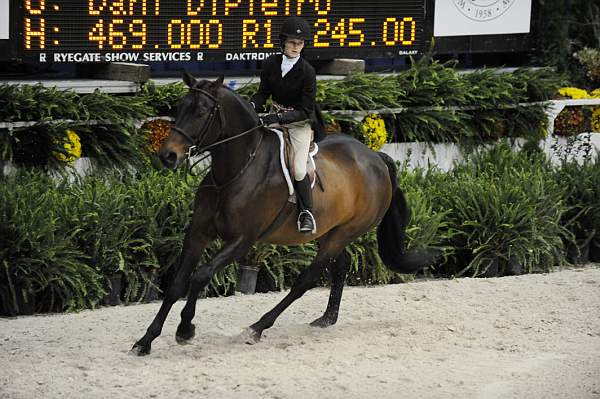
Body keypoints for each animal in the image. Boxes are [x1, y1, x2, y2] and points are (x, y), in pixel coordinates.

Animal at [131, 72, 438, 356]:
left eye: (202, 112)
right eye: (180, 108)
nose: (168, 156)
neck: (235, 170)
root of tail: (377, 159)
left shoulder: (242, 240)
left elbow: (200, 276)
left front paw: (185, 330)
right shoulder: (198, 233)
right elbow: (176, 285)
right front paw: (145, 341)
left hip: (344, 233)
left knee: (306, 280)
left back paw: (257, 328)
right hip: (329, 231)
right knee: (340, 266)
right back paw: (326, 319)